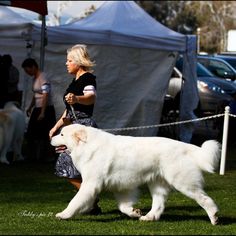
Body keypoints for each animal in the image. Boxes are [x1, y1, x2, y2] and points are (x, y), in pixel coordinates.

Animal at [50, 123, 221, 225]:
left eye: (62, 135)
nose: (50, 137)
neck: (87, 145)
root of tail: (185, 146)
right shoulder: (121, 187)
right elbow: (123, 206)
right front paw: (134, 213)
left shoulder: (90, 184)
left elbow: (75, 201)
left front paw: (64, 214)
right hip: (157, 185)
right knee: (158, 204)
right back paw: (149, 217)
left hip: (183, 183)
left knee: (204, 199)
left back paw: (214, 217)